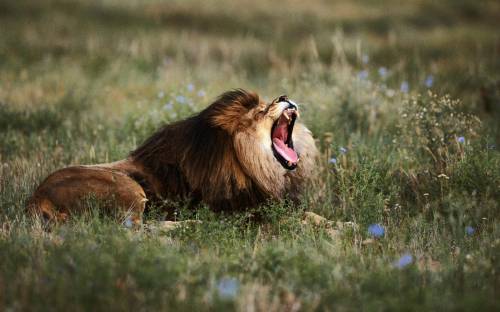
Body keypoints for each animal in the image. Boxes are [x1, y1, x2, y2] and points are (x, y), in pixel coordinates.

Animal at [26, 89, 316, 224]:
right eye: (260, 111)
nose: (284, 96)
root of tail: (36, 198)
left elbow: (312, 214)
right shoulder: (247, 211)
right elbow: (298, 219)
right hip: (127, 187)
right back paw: (187, 225)